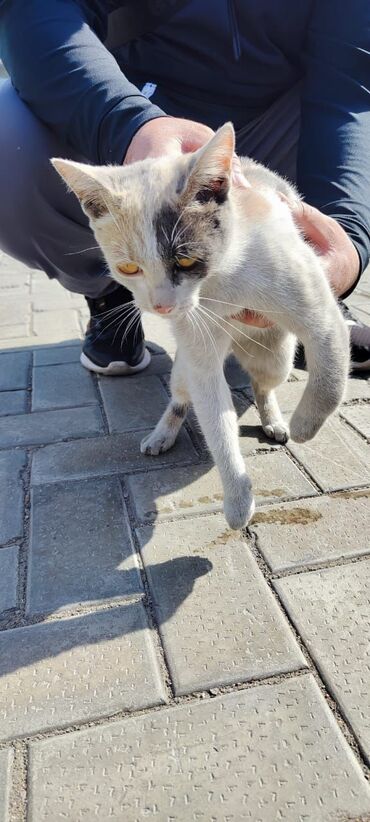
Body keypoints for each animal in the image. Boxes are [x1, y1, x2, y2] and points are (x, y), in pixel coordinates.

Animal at [52, 125, 350, 532]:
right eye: (128, 268)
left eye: (186, 260)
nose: (161, 306)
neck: (220, 282)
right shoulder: (198, 351)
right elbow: (215, 421)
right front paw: (238, 497)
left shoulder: (320, 313)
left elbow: (331, 374)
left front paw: (306, 424)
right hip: (187, 366)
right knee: (181, 395)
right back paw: (163, 433)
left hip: (276, 355)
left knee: (264, 384)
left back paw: (274, 419)